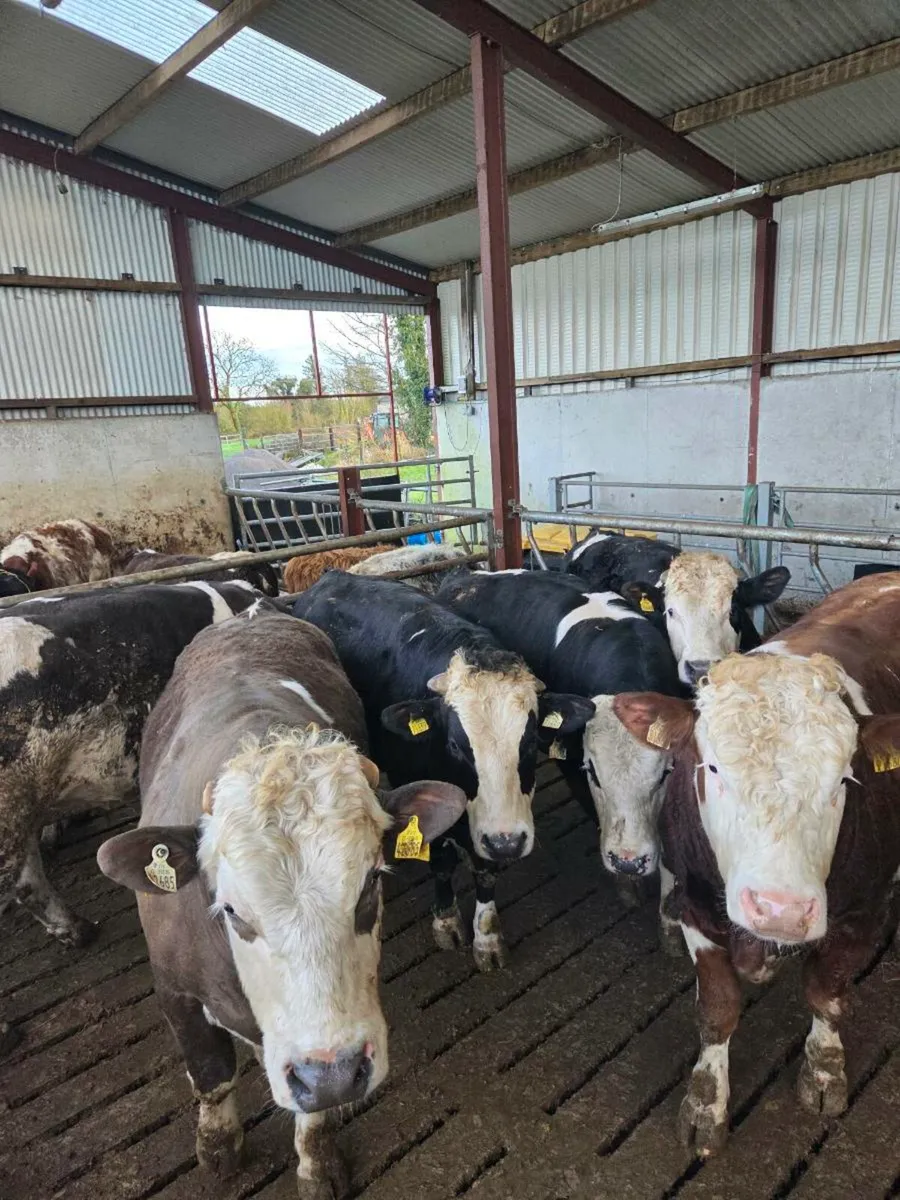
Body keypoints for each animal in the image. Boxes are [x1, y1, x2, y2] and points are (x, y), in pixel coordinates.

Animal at [97, 612, 466, 1195]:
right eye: (231, 911)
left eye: (370, 885)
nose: (333, 1074)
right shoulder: (174, 988)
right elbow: (211, 1076)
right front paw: (218, 1146)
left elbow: (311, 1113)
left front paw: (317, 1164)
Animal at [289, 572, 594, 970]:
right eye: (454, 745)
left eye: (529, 742)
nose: (508, 843)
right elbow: (440, 862)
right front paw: (447, 920)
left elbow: (484, 870)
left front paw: (487, 937)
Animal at [612, 571, 900, 1156]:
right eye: (712, 768)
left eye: (845, 778)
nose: (778, 909)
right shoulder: (696, 903)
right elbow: (717, 1008)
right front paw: (705, 1104)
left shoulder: (863, 911)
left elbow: (825, 991)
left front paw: (824, 1071)